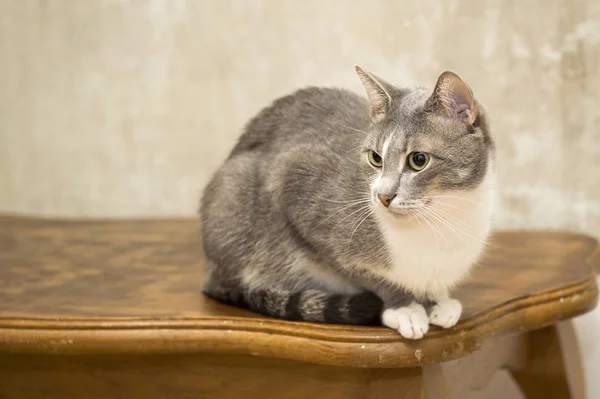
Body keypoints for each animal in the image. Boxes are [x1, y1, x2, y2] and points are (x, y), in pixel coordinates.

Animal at [199, 66, 494, 340]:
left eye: (418, 160)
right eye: (375, 158)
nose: (383, 196)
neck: (441, 218)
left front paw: (437, 299)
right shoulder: (294, 181)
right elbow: (367, 276)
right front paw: (405, 306)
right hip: (234, 192)